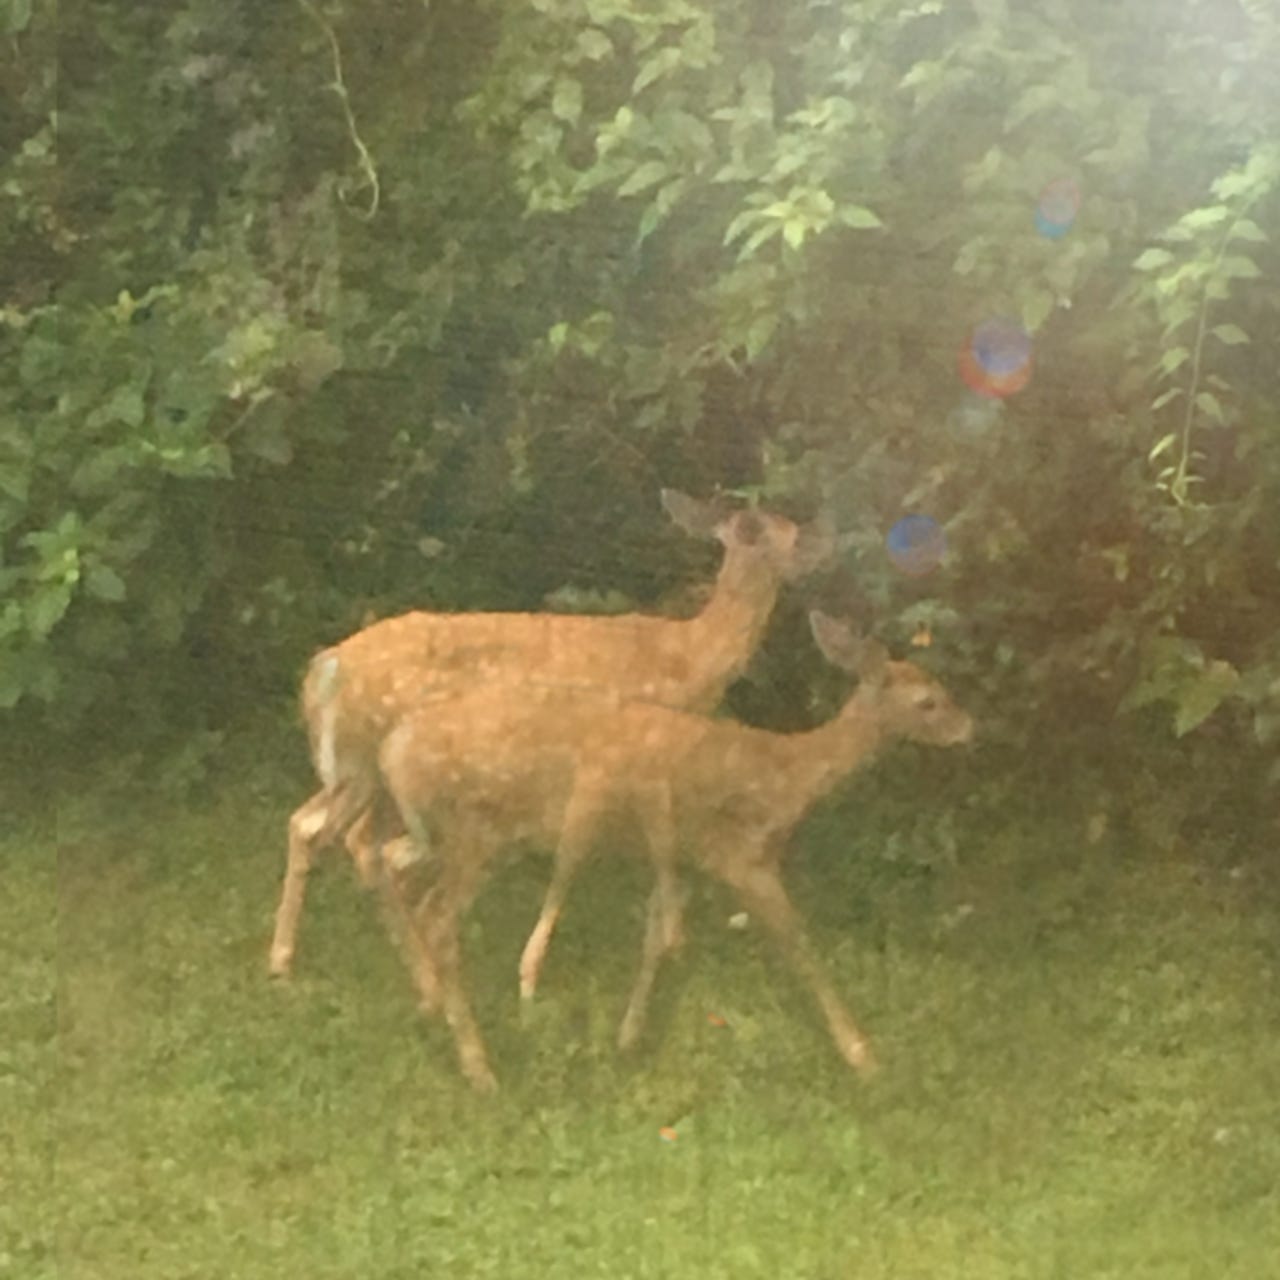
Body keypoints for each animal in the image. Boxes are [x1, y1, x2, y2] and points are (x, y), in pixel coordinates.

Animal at [268, 489, 832, 980]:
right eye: (784, 535)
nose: (816, 554)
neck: (690, 657)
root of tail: (326, 667)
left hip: (356, 770)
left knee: (308, 825)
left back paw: (283, 961)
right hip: (377, 767)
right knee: (357, 843)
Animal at [375, 611, 974, 1092]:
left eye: (940, 685)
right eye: (928, 701)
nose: (968, 727)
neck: (787, 776)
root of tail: (394, 750)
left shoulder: (685, 860)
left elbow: (656, 941)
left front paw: (629, 1038)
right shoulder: (741, 856)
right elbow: (798, 945)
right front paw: (863, 1056)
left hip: (450, 835)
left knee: (394, 867)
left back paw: (432, 1011)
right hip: (477, 831)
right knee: (438, 915)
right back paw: (480, 1069)